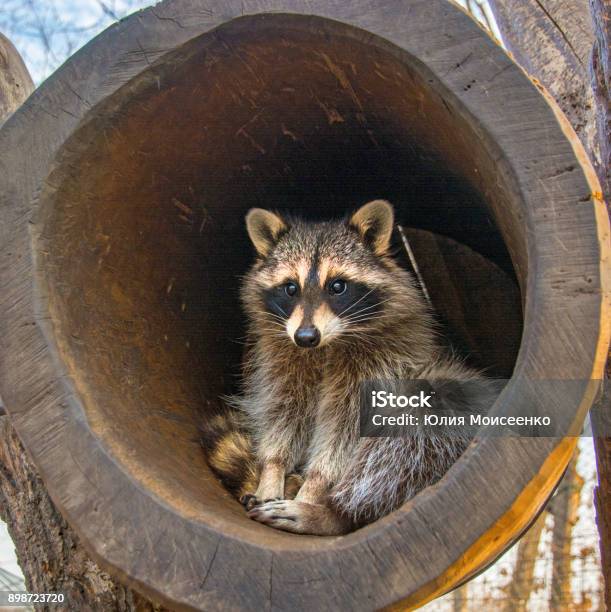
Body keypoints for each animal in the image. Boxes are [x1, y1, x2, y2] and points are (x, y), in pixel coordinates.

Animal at [203, 202, 500, 536]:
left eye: (337, 286)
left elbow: (345, 433)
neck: (325, 347)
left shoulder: (381, 364)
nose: (306, 336)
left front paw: (313, 491)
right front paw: (272, 470)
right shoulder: (281, 359)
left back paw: (331, 514)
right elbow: (282, 413)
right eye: (290, 288)